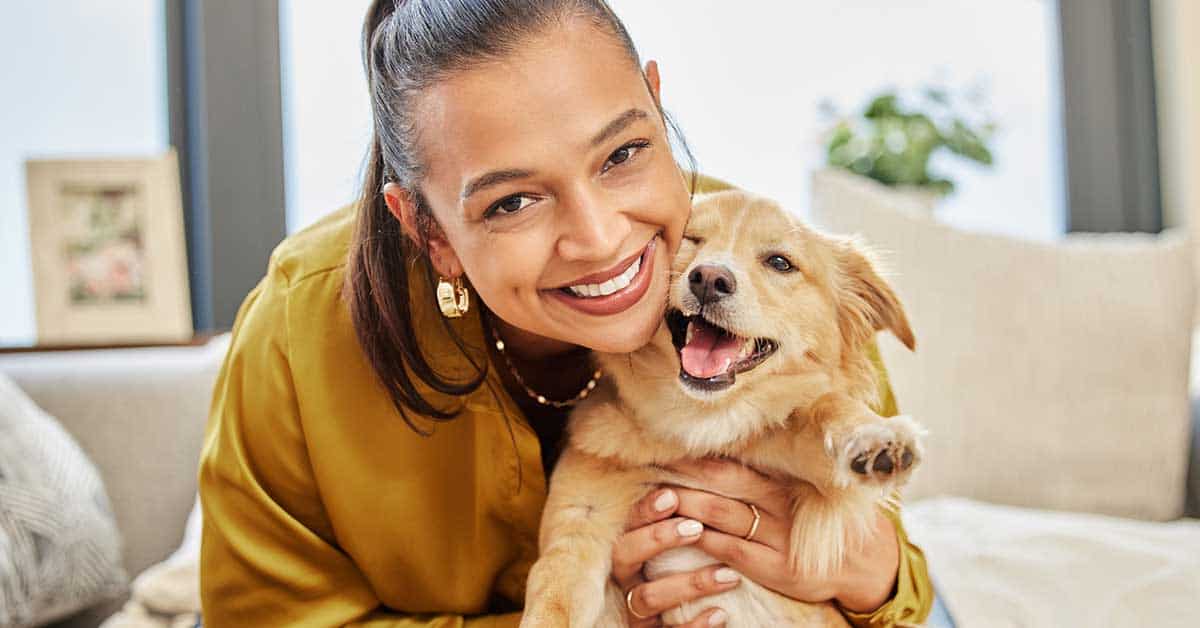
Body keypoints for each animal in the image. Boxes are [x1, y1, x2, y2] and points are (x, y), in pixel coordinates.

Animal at [520, 189, 921, 624]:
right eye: (691, 239)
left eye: (780, 262)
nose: (710, 279)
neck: (701, 422)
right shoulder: (578, 530)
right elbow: (552, 602)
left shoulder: (819, 487)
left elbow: (823, 406)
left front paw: (876, 438)